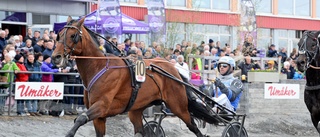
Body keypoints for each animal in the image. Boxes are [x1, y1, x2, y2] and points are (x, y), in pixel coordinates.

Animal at [52, 16, 219, 136]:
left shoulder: (102, 106)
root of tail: (173, 70)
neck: (99, 67)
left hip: (178, 106)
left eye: (73, 35)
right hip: (136, 110)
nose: (56, 57)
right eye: (59, 35)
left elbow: (80, 118)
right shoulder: (99, 117)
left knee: (193, 126)